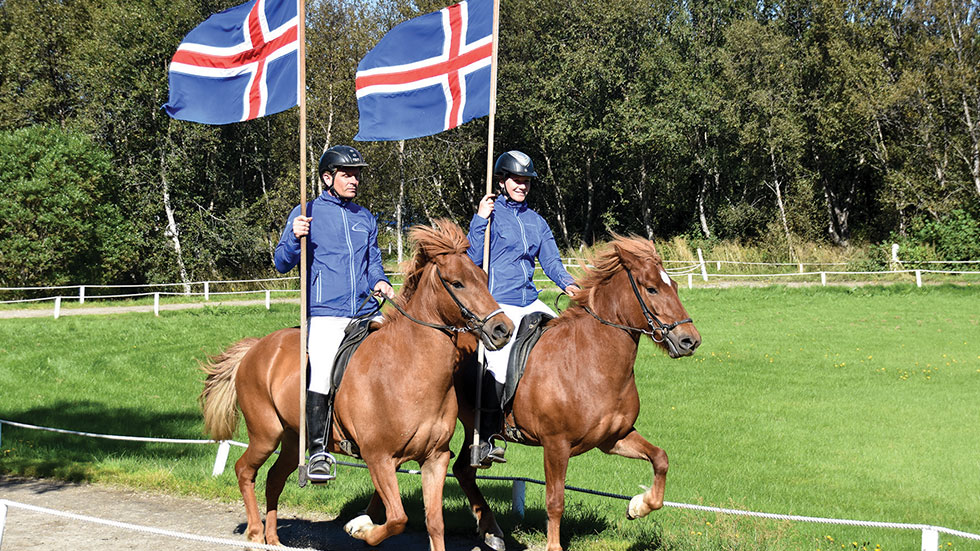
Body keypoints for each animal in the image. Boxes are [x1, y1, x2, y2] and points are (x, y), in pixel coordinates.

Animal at [203, 221, 516, 551]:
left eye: (483, 279)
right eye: (457, 283)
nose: (503, 330)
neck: (408, 371)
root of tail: (256, 348)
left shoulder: (435, 458)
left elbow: (434, 523)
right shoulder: (379, 459)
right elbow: (397, 519)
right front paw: (360, 526)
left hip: (291, 440)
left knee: (273, 479)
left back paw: (272, 540)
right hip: (265, 434)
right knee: (244, 471)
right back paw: (254, 534)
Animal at [456, 235, 700, 548]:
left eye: (676, 287)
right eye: (652, 288)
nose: (690, 341)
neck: (591, 364)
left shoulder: (614, 438)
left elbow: (661, 458)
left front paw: (638, 506)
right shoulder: (556, 445)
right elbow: (555, 500)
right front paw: (554, 545)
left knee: (463, 471)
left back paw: (492, 531)